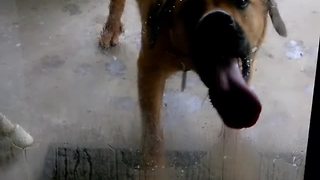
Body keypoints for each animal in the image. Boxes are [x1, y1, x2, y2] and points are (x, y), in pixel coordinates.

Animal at [99, 0, 286, 169]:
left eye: (242, 2)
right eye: (192, 6)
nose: (217, 21)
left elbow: (231, 135)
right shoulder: (150, 69)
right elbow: (153, 135)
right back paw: (111, 29)